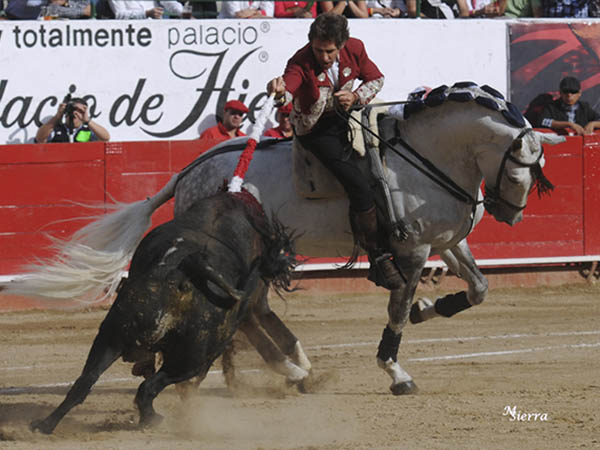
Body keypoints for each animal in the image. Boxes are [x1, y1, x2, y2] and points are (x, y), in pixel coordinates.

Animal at [0, 83, 564, 394]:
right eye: (522, 165)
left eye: (537, 169)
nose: (509, 214)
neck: (425, 155)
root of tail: (187, 172)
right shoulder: (413, 248)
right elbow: (397, 311)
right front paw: (396, 371)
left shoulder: (446, 241)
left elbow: (478, 288)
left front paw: (432, 308)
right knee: (247, 311)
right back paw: (288, 369)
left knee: (252, 309)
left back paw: (289, 365)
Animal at [29, 192, 308, 434]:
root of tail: (180, 270)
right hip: (189, 358)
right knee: (149, 387)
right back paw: (154, 418)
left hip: (108, 338)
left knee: (84, 382)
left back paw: (45, 426)